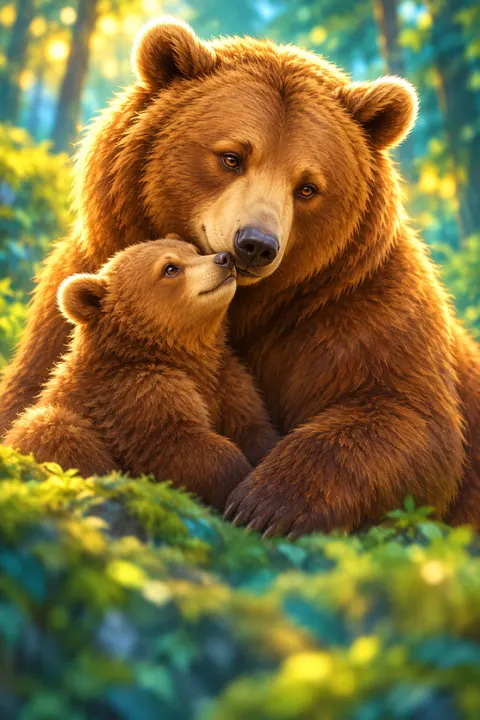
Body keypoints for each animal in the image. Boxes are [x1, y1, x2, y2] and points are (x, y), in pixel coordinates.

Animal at [4, 238, 279, 511]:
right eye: (170, 268)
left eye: (194, 250)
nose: (224, 258)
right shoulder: (136, 392)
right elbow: (177, 444)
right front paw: (237, 479)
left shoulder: (227, 378)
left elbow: (252, 426)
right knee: (54, 428)